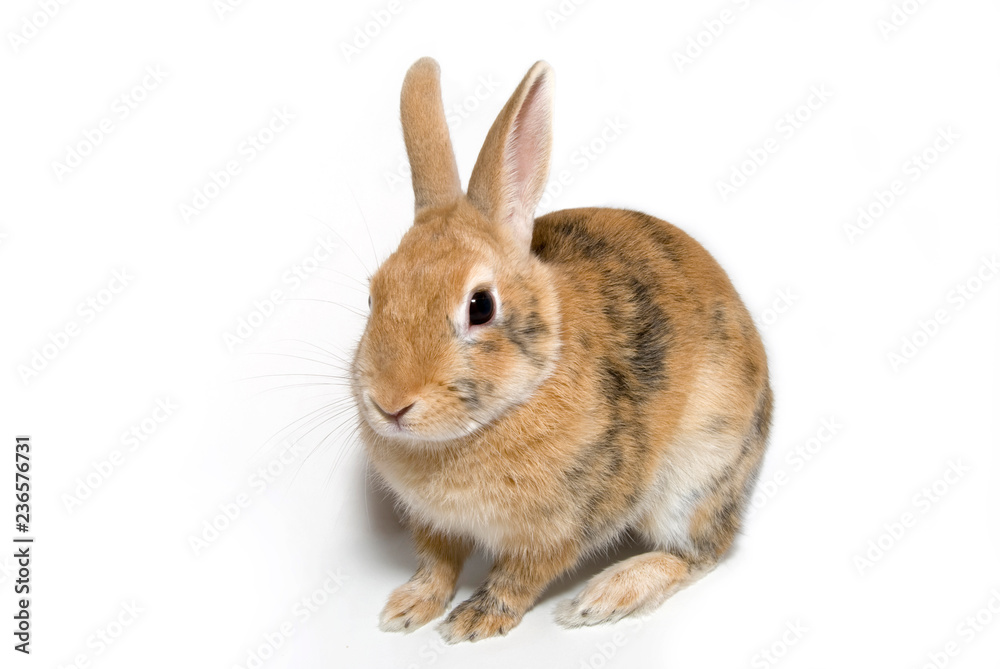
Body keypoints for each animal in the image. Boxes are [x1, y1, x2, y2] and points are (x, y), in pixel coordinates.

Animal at [350, 57, 772, 643]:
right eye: (373, 296)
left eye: (481, 306)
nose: (391, 404)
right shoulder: (435, 523)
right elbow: (437, 561)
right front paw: (408, 608)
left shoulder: (566, 526)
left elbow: (521, 575)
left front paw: (474, 622)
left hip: (697, 475)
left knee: (703, 551)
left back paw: (604, 596)